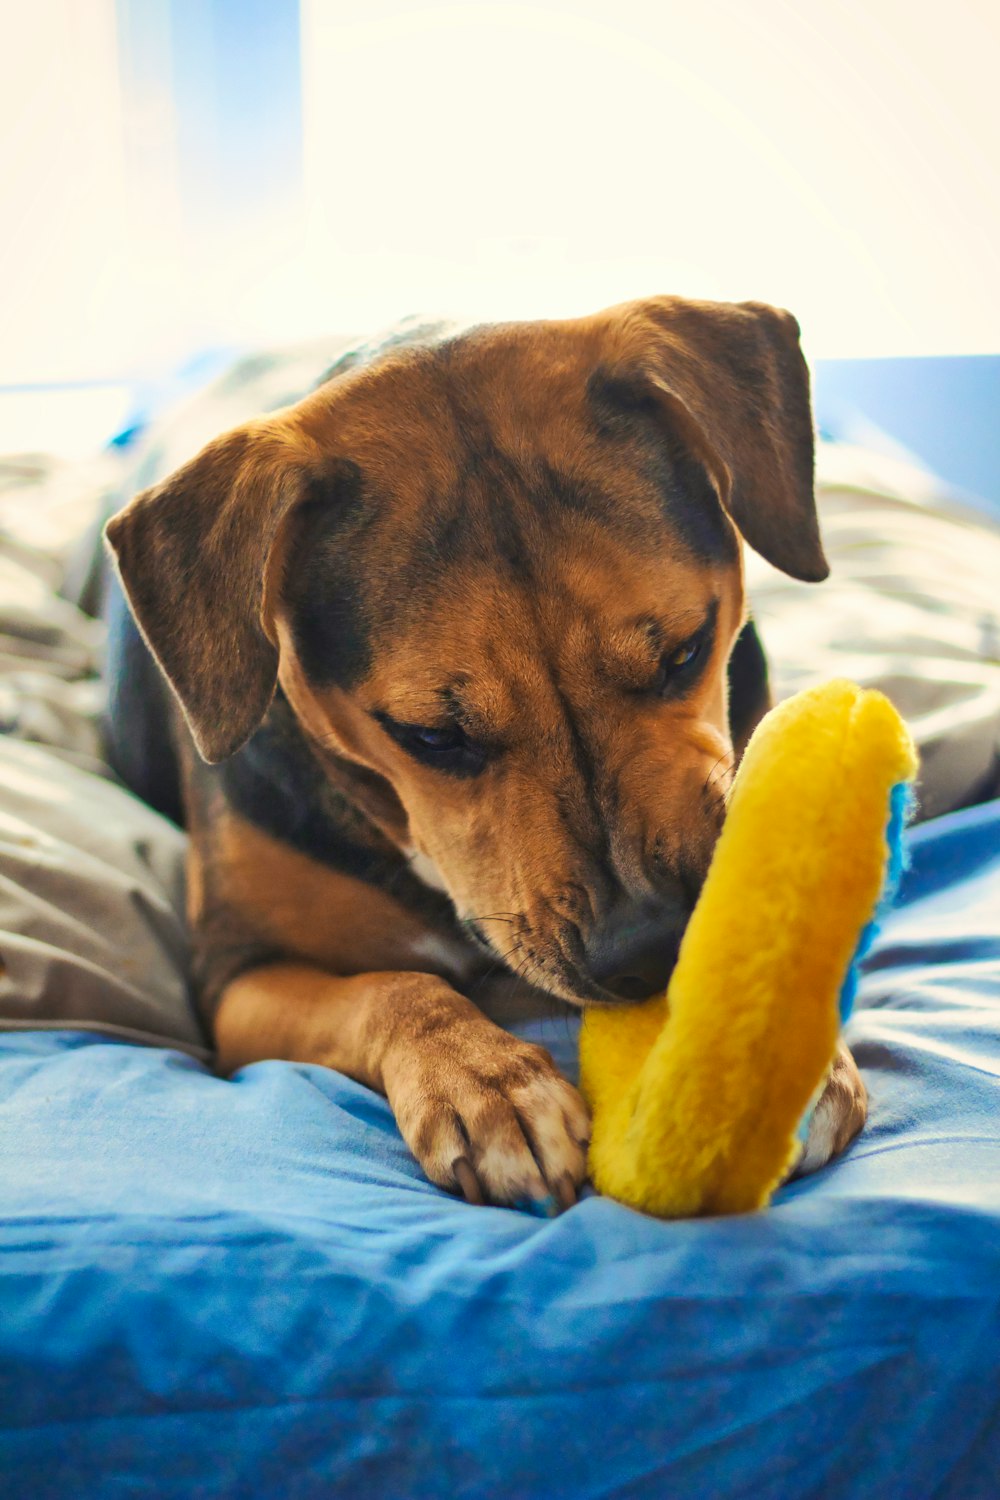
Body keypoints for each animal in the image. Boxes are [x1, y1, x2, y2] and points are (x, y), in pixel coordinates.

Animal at [103, 298, 869, 1212]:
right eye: (433, 737)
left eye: (686, 652)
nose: (651, 949)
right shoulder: (235, 979)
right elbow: (390, 989)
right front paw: (483, 1081)